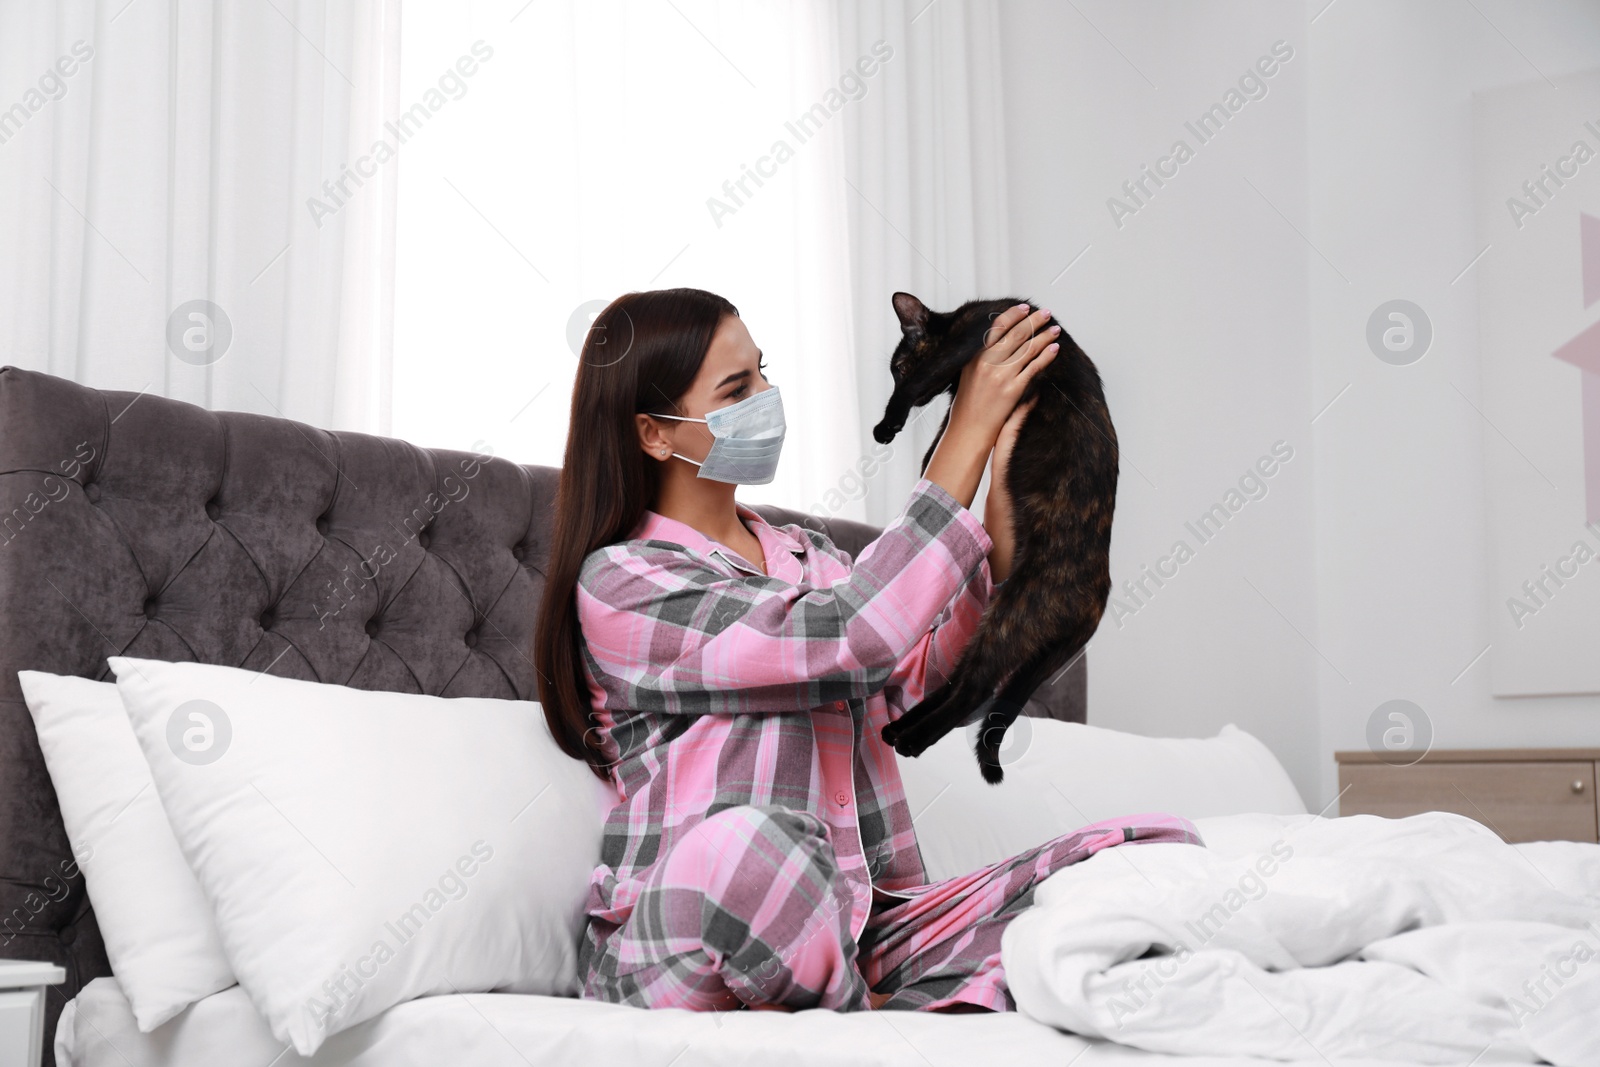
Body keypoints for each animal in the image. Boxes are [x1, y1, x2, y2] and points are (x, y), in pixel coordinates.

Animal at [870, 292, 1120, 783]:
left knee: (974, 689)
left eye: (901, 368)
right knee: (961, 684)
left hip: (1012, 617)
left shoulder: (972, 339)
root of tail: (1098, 598)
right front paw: (926, 464)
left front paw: (888, 423)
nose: (898, 382)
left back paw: (910, 740)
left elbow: (933, 402)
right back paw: (899, 728)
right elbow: (947, 428)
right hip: (996, 622)